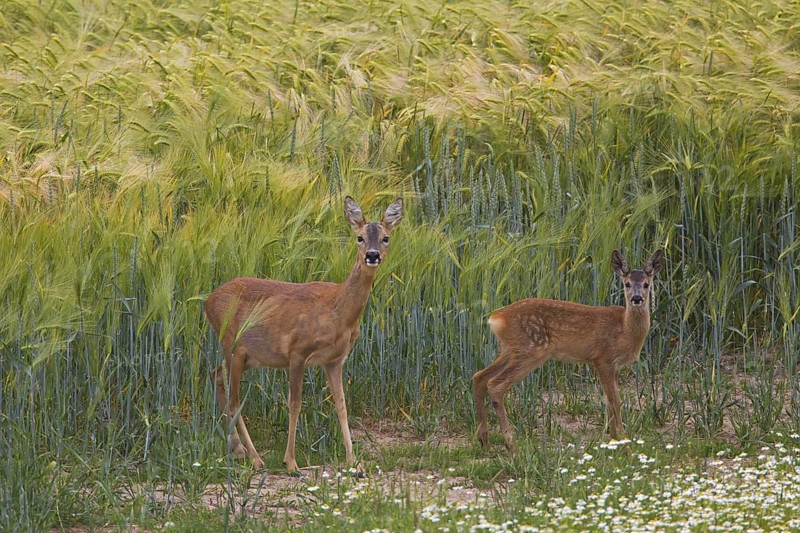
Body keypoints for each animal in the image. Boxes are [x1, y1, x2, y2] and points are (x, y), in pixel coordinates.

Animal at [204, 196, 403, 471]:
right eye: (360, 237)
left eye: (385, 238)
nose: (372, 255)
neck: (338, 311)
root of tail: (207, 302)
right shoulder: (297, 351)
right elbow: (295, 404)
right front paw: (291, 462)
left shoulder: (335, 360)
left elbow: (341, 405)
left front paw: (353, 460)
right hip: (232, 345)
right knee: (234, 400)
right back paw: (255, 457)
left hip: (248, 356)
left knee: (216, 376)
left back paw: (238, 450)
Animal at [473, 249, 664, 451]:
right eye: (627, 284)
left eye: (646, 284)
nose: (636, 298)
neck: (624, 329)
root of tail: (496, 318)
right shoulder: (602, 358)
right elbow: (615, 401)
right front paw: (624, 443)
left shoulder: (614, 365)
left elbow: (608, 401)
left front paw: (613, 440)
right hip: (531, 350)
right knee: (495, 384)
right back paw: (510, 443)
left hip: (510, 349)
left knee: (479, 377)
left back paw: (484, 440)